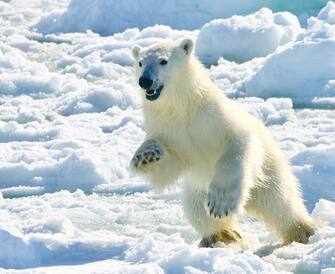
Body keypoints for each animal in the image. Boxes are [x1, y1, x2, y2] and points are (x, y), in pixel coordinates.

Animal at [129, 39, 316, 247]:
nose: (145, 81)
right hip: (197, 189)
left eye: (163, 61)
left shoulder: (216, 119)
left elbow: (236, 144)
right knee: (197, 209)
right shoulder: (168, 131)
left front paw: (220, 202)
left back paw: (303, 231)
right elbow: (167, 168)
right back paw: (222, 235)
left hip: (269, 171)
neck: (184, 110)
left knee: (280, 201)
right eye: (140, 63)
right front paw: (146, 155)